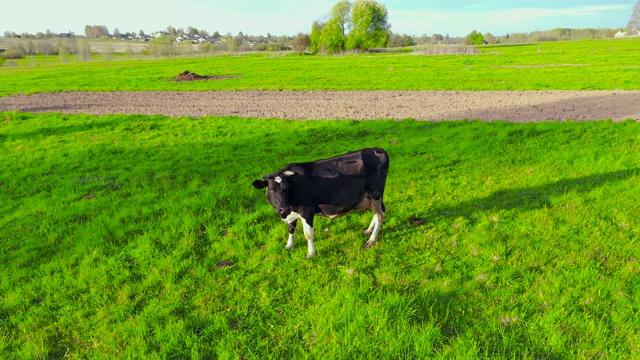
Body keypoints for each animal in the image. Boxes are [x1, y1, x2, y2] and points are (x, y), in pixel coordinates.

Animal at [252, 148, 388, 258]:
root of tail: (377, 149)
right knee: (377, 212)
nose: (283, 209)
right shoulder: (292, 212)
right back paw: (369, 230)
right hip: (370, 195)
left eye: (286, 188)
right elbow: (291, 228)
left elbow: (308, 234)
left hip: (375, 192)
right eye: (271, 189)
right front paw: (289, 245)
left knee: (379, 214)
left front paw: (310, 253)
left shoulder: (306, 210)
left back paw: (371, 240)